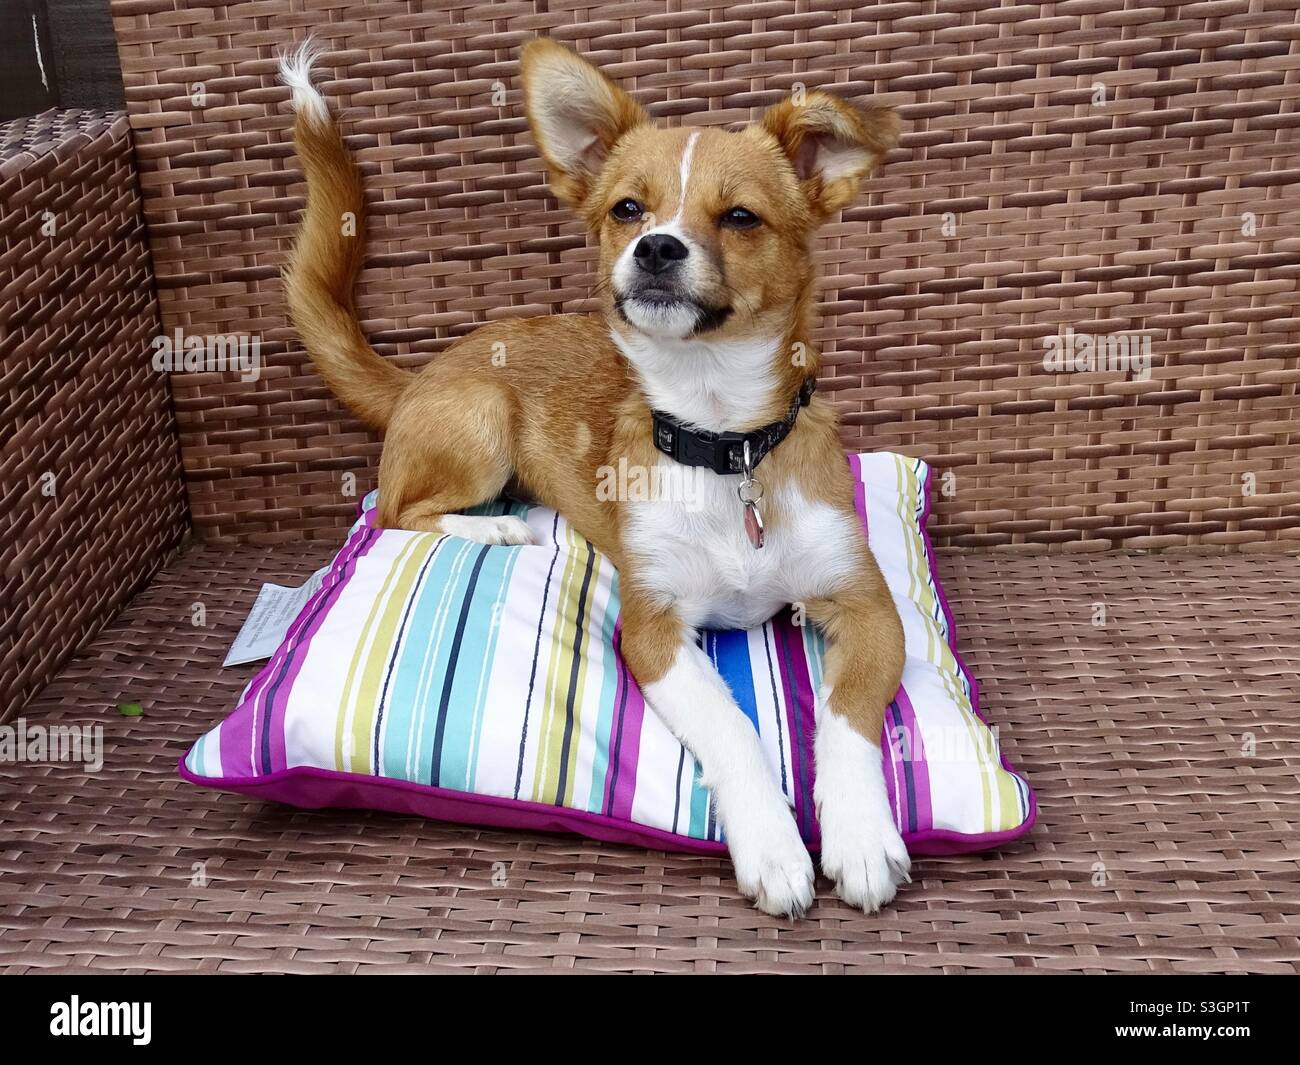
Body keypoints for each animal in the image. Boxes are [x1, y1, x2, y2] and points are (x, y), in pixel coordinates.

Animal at [282, 39, 915, 915]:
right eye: (627, 209)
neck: (724, 443)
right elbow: (734, 728)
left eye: (740, 217)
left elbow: (846, 719)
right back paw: (494, 523)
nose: (656, 248)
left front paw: (857, 834)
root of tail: (420, 375)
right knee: (395, 510)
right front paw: (774, 844)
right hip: (482, 422)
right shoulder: (654, 631)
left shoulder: (868, 607)